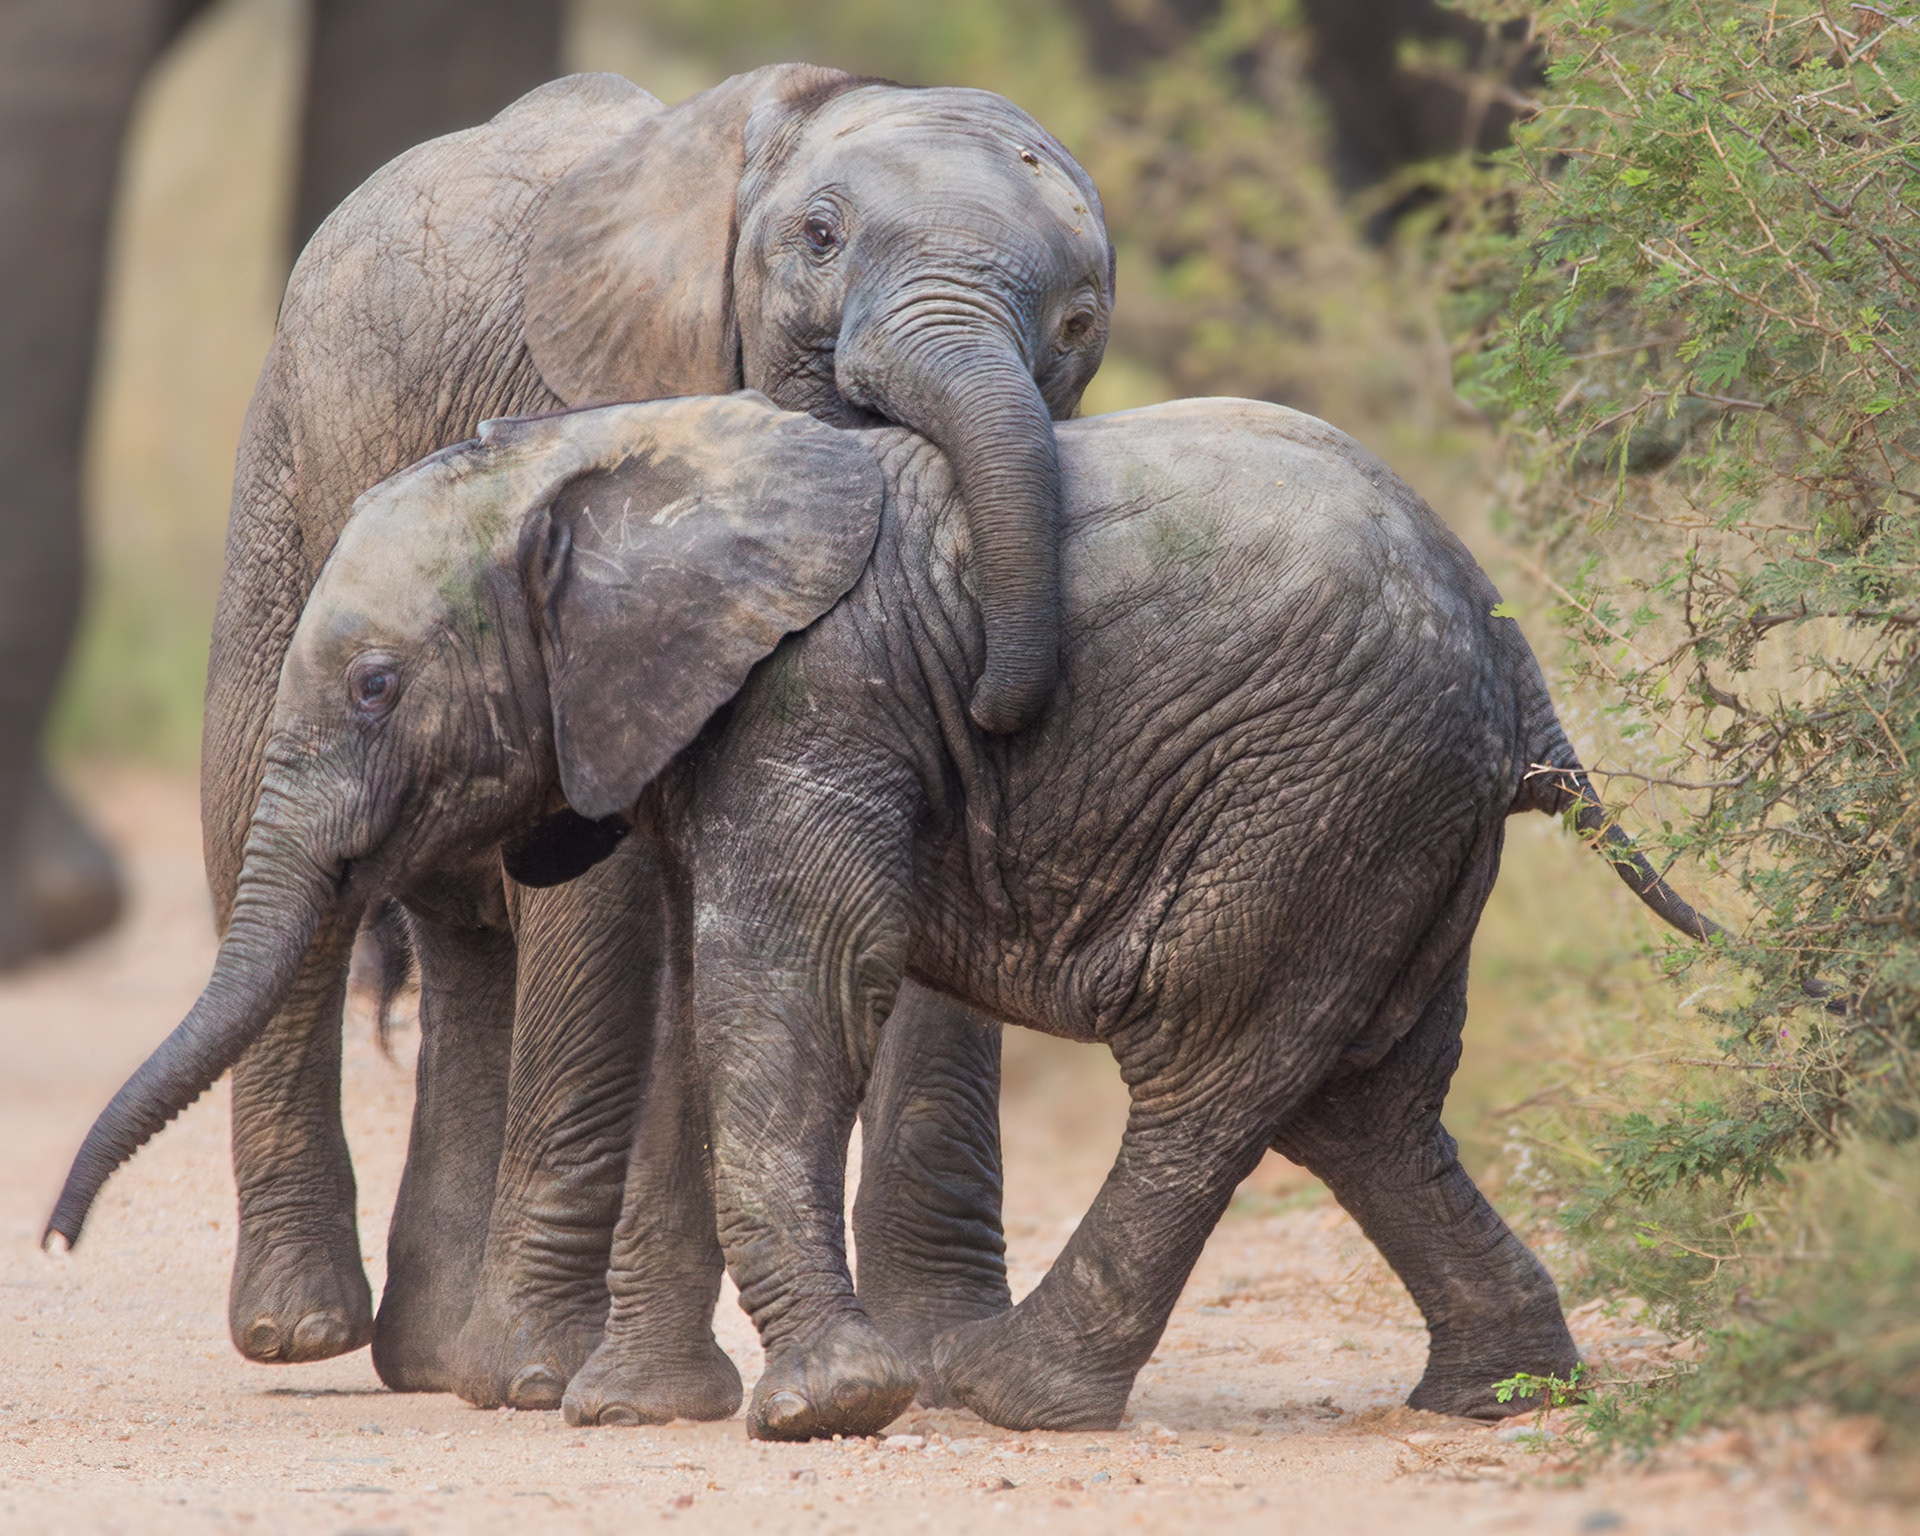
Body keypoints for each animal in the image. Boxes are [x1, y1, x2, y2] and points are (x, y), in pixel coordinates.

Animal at [51, 390, 1715, 1440]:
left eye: (378, 687)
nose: (58, 1237)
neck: (605, 456)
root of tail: (1519, 670)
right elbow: (699, 1011)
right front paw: (629, 1415)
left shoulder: (820, 694)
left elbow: (787, 989)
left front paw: (825, 1415)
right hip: (1396, 827)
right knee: (1364, 1106)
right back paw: (1499, 1398)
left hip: (1315, 795)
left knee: (1209, 1071)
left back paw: (1010, 1398)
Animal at [188, 65, 1112, 1408]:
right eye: (819, 238)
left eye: (1081, 321)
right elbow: (609, 891)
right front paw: (546, 1381)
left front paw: (943, 1363)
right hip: (287, 469)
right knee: (264, 845)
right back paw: (314, 1330)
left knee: (466, 939)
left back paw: (435, 1359)